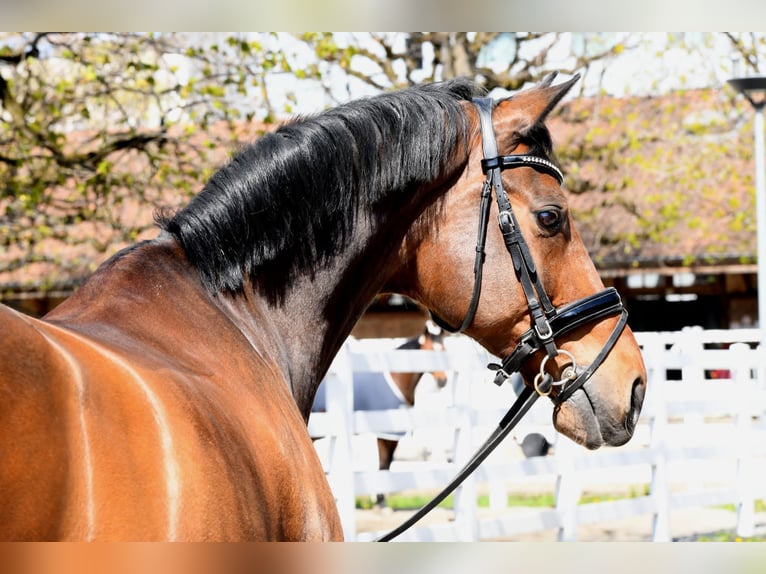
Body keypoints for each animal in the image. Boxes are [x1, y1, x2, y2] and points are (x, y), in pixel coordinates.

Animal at [310, 322, 450, 506]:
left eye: (444, 350)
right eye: (429, 350)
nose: (443, 381)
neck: (397, 378)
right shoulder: (386, 435)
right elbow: (383, 465)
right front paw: (381, 502)